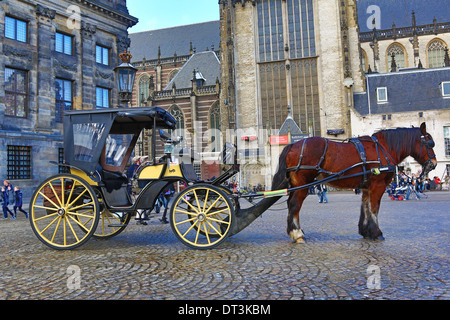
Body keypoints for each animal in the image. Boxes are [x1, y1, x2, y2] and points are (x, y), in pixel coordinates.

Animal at [270, 122, 436, 242]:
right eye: (430, 144)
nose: (433, 164)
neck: (383, 148)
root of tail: (293, 144)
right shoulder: (378, 185)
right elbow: (374, 208)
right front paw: (376, 232)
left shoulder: (367, 187)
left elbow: (365, 208)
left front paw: (366, 231)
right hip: (303, 185)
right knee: (294, 205)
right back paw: (297, 233)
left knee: (290, 204)